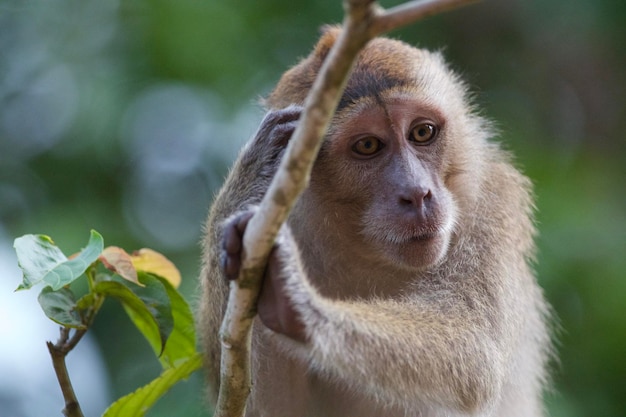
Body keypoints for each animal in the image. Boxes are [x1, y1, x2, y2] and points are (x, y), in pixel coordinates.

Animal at [197, 26, 548, 416]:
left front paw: (295, 302)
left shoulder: (493, 202)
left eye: (422, 132)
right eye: (368, 145)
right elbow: (266, 404)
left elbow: (474, 348)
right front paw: (253, 174)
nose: (417, 194)